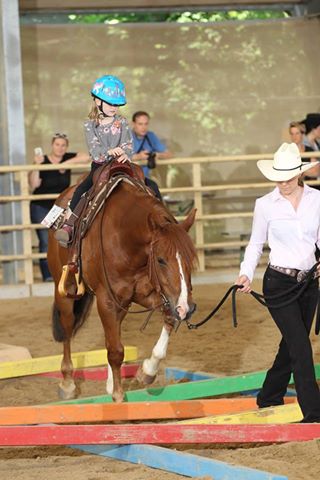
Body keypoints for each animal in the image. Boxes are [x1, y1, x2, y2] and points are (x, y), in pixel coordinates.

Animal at [47, 180, 198, 402]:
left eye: (190, 258)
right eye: (161, 260)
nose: (187, 307)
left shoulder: (150, 294)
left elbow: (167, 320)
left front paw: (147, 371)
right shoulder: (107, 300)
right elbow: (116, 351)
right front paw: (119, 396)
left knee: (112, 333)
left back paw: (109, 382)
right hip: (65, 290)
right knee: (68, 328)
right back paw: (67, 383)